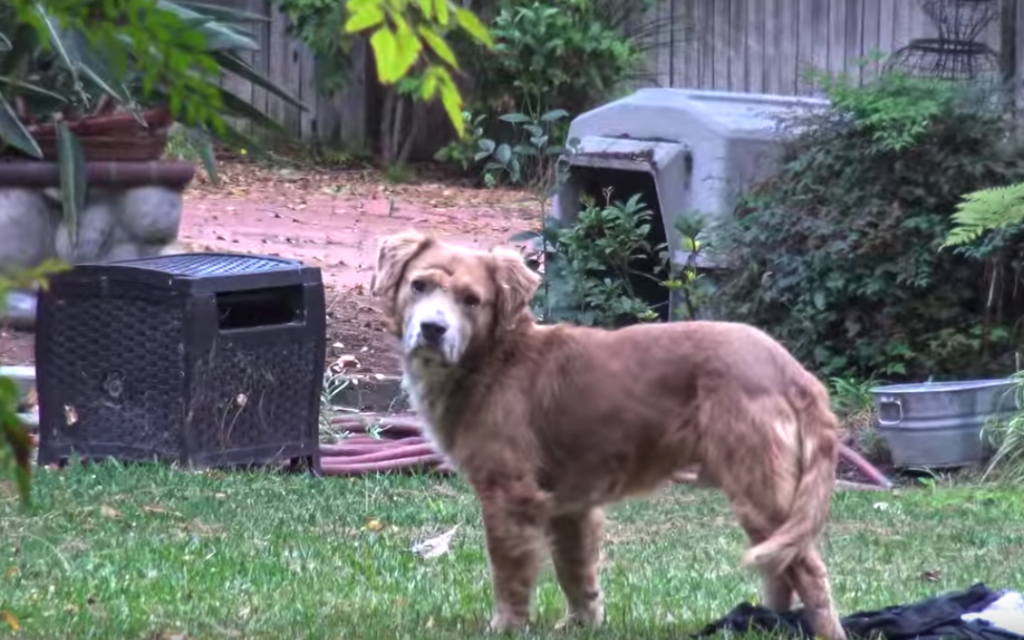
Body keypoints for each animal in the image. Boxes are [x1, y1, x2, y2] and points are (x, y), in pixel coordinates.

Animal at [372, 227, 843, 634]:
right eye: (419, 285)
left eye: (471, 300)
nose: (433, 329)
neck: (493, 359)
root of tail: (792, 369)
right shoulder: (570, 507)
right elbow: (576, 573)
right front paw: (582, 624)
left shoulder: (508, 495)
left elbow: (509, 575)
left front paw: (506, 626)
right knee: (780, 569)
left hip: (759, 488)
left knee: (809, 570)